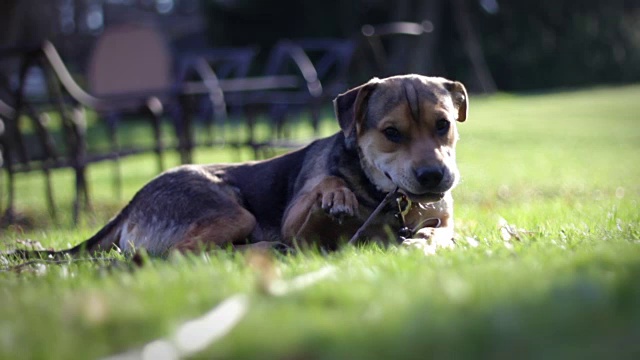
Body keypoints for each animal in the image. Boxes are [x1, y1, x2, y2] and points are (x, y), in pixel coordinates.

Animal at [12, 74, 468, 258]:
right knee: (180, 254)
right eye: (392, 132)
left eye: (443, 125)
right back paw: (265, 249)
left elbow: (438, 233)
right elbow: (322, 187)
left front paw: (423, 242)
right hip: (231, 210)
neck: (388, 197)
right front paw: (336, 192)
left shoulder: (443, 221)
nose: (435, 177)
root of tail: (133, 201)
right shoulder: (296, 224)